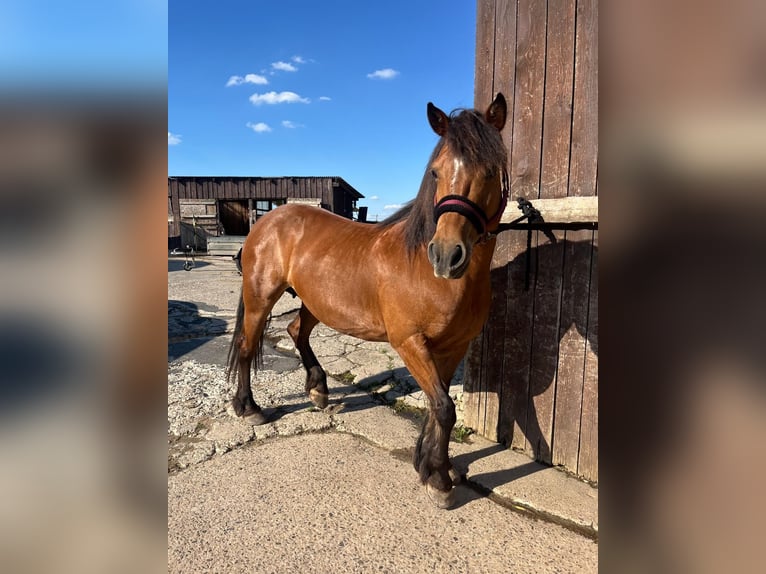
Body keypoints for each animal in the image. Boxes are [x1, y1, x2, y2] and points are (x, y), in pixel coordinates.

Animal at [226, 93, 509, 508]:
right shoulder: (410, 343)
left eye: (491, 171)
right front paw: (440, 480)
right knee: (248, 346)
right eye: (436, 173)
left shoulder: (453, 346)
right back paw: (249, 409)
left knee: (296, 331)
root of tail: (267, 220)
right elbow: (443, 408)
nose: (446, 255)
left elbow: (436, 405)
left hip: (315, 302)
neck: (426, 271)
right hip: (261, 296)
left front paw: (428, 464)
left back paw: (318, 389)